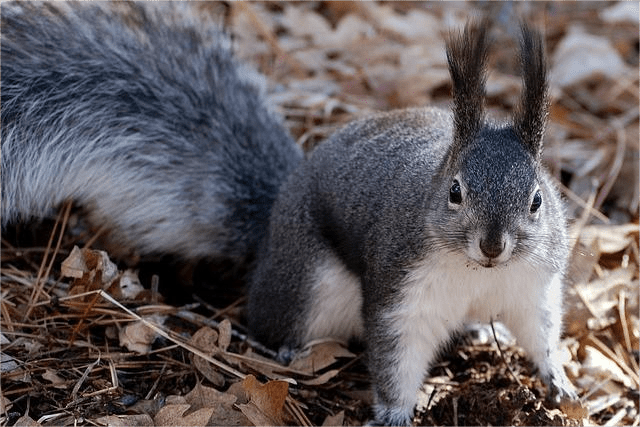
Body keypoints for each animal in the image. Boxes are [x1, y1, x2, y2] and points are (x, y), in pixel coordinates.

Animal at [1, 1, 580, 426]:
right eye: (455, 192)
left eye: (538, 199)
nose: (493, 244)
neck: (478, 273)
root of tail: (275, 219)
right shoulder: (401, 290)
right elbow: (395, 355)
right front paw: (394, 414)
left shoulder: (533, 286)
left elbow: (540, 332)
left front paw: (560, 381)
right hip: (308, 284)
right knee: (273, 316)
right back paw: (281, 351)